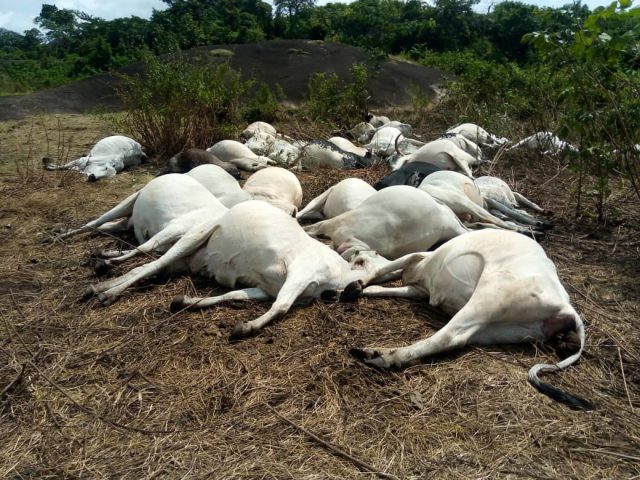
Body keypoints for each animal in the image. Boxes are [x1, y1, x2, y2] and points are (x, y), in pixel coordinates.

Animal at [83, 201, 370, 340]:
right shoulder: (299, 273)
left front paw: (186, 301)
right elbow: (281, 307)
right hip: (194, 236)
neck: (338, 272)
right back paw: (106, 289)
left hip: (184, 257)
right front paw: (246, 328)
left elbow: (234, 295)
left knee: (152, 264)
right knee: (151, 261)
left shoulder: (267, 288)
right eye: (363, 261)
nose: (355, 289)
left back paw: (101, 278)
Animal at [349, 229, 591, 410]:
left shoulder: (419, 256)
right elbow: (384, 286)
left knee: (446, 336)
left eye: (358, 259)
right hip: (495, 329)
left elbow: (383, 268)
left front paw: (355, 286)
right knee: (458, 339)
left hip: (489, 296)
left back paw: (382, 355)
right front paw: (362, 289)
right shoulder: (419, 289)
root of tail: (565, 305)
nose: (355, 254)